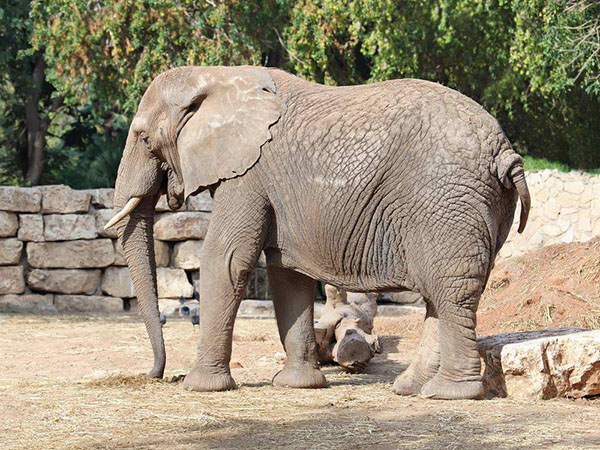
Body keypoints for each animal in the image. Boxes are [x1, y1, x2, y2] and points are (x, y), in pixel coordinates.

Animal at [105, 65, 528, 400]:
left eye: (144, 137)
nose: (157, 374)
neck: (215, 75)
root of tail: (505, 151)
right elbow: (288, 273)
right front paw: (298, 385)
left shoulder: (249, 174)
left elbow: (225, 259)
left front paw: (199, 387)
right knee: (440, 295)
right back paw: (410, 388)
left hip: (445, 200)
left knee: (451, 291)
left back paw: (448, 393)